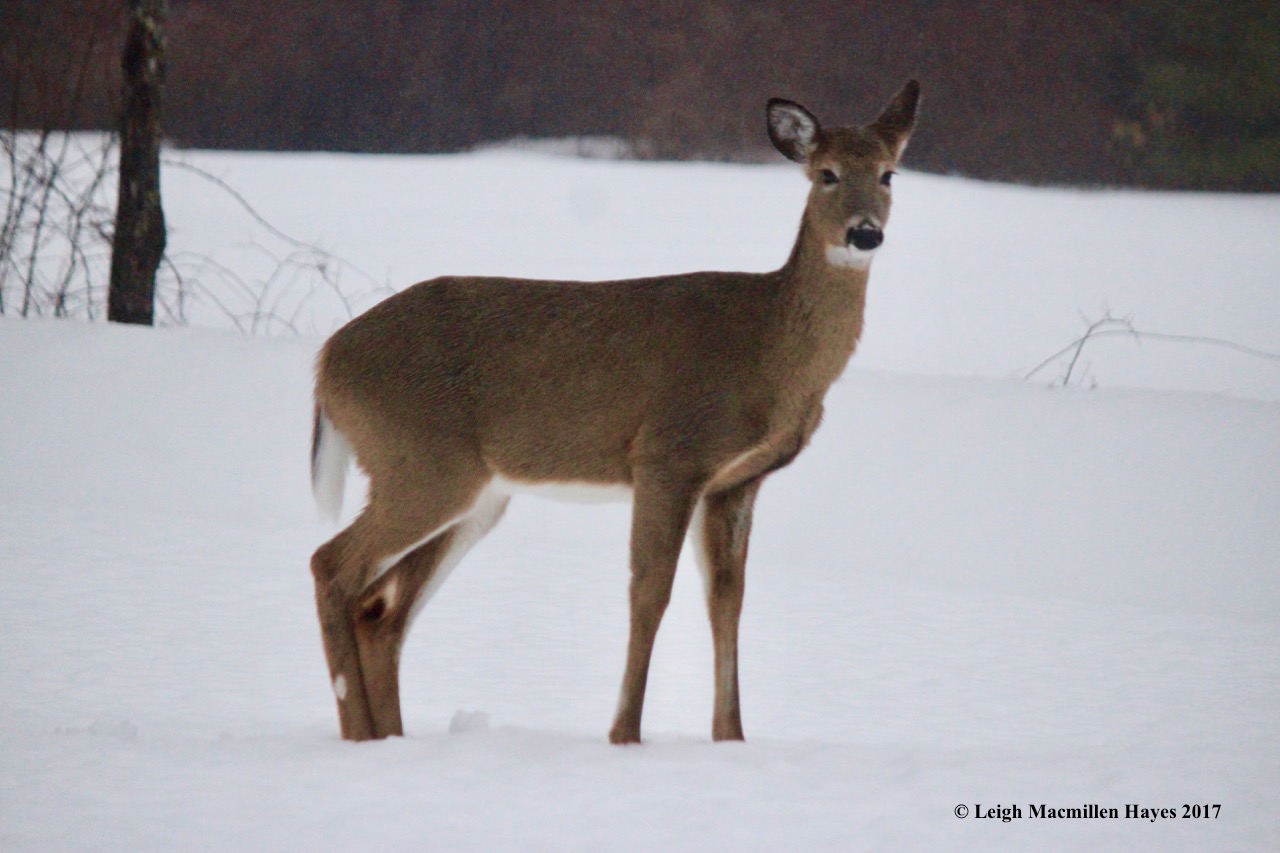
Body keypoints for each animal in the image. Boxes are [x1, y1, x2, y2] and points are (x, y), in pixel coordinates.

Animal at [309, 80, 919, 744]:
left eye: (888, 174)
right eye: (826, 173)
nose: (865, 234)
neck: (767, 352)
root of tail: (325, 362)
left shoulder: (736, 482)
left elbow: (727, 601)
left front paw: (731, 739)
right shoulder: (668, 453)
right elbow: (649, 592)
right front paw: (625, 735)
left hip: (474, 492)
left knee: (381, 609)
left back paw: (387, 739)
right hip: (422, 463)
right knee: (332, 566)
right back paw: (357, 734)